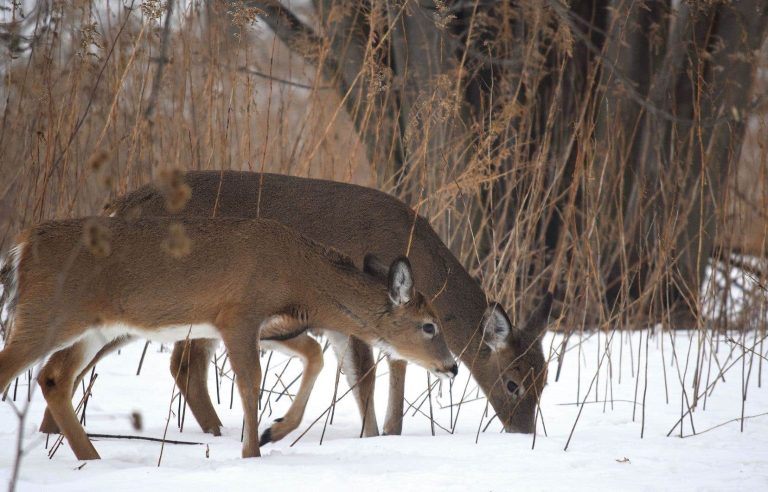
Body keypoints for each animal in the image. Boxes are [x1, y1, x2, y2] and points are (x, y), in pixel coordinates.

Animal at [0, 217, 456, 460]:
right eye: (429, 325)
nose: (451, 367)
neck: (303, 279)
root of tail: (22, 245)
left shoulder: (271, 326)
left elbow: (314, 355)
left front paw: (276, 430)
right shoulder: (237, 314)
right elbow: (251, 383)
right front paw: (251, 454)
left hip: (97, 328)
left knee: (54, 377)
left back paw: (92, 459)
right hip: (48, 314)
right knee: (17, 369)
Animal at [36, 172, 552, 442]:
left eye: (545, 380)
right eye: (512, 382)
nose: (523, 432)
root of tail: (120, 204)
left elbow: (395, 371)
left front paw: (388, 434)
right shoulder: (354, 309)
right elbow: (365, 377)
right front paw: (371, 439)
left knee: (164, 364)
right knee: (174, 364)